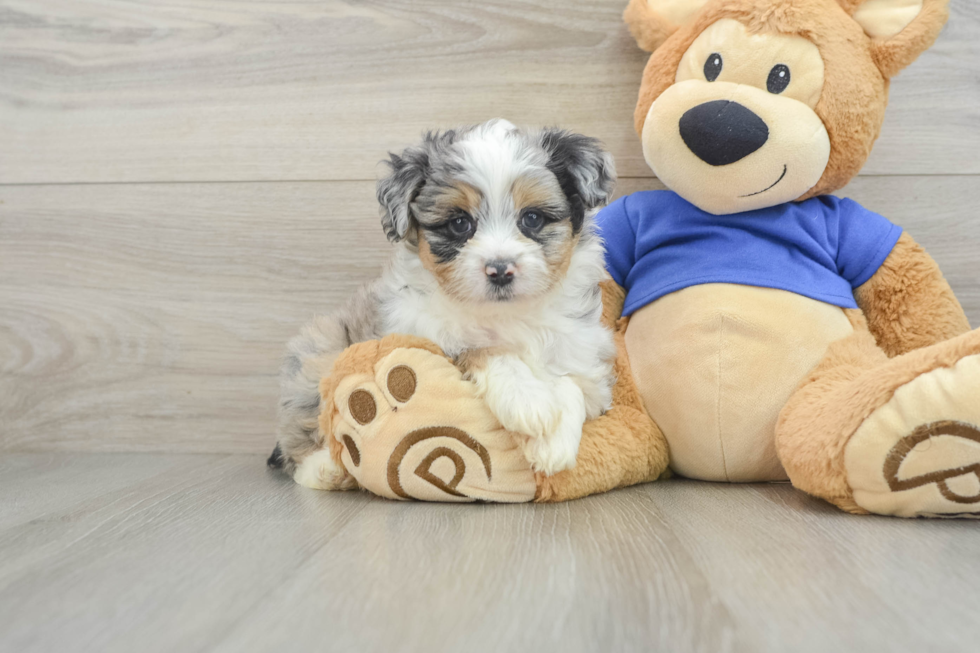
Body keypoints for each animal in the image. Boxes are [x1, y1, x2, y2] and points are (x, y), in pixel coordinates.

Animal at [270, 121, 612, 488]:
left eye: (532, 219)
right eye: (460, 223)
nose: (500, 269)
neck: (506, 313)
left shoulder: (581, 351)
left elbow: (572, 383)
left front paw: (554, 444)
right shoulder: (419, 337)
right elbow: (485, 349)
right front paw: (528, 400)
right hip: (319, 351)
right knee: (299, 438)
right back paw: (325, 469)